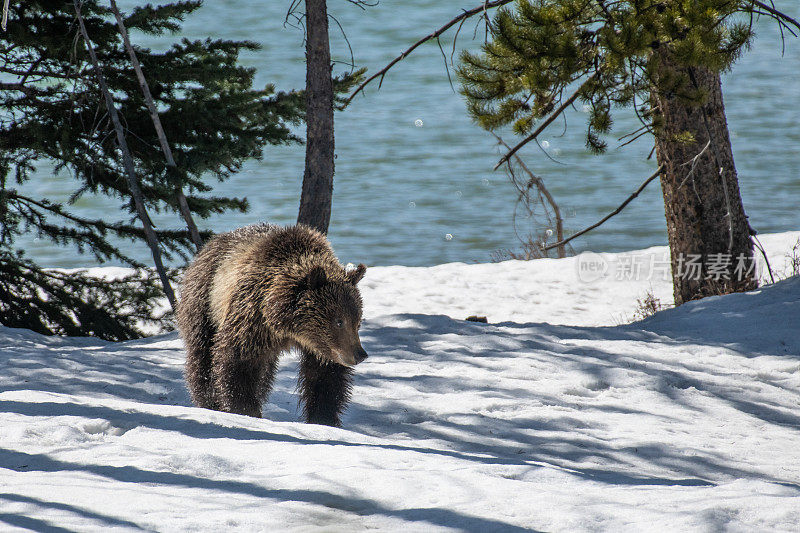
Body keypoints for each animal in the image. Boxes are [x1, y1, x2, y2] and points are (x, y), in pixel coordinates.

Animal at [177, 222, 368, 426]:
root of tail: (207, 246)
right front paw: (245, 409)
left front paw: (324, 418)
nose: (360, 354)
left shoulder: (322, 347)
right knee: (201, 353)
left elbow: (325, 376)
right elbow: (237, 361)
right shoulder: (252, 318)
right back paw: (207, 400)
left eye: (357, 321)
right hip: (205, 301)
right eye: (339, 321)